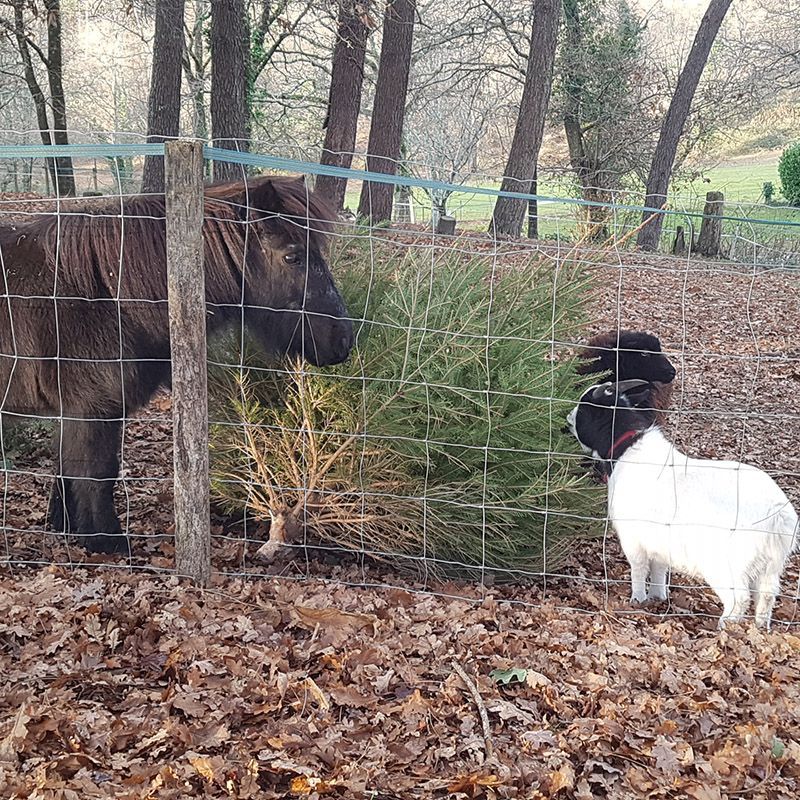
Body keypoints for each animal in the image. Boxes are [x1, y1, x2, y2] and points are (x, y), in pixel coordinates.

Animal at [0, 176, 354, 552]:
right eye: (292, 256)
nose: (343, 339)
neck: (106, 292)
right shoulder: (93, 411)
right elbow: (96, 474)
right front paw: (107, 543)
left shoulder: (75, 413)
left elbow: (66, 472)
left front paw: (66, 528)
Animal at [564, 382, 796, 632]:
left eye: (585, 407)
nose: (568, 418)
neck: (627, 449)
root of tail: (777, 516)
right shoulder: (659, 542)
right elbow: (658, 569)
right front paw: (657, 597)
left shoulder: (633, 538)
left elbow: (638, 568)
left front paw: (637, 599)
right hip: (770, 567)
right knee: (767, 596)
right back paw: (761, 627)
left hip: (727, 566)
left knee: (739, 598)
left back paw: (723, 627)